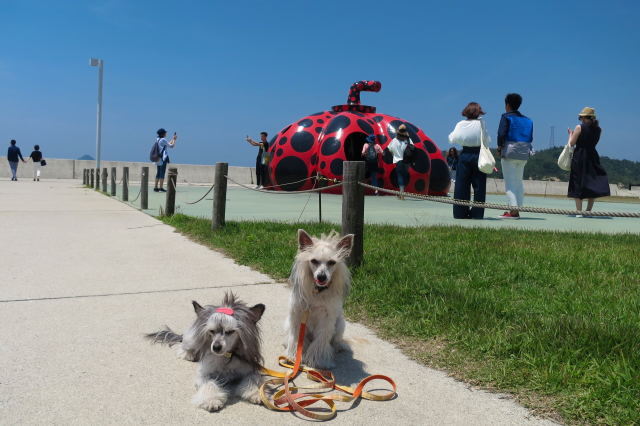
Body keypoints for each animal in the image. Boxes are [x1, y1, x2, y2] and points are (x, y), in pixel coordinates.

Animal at [284, 230, 356, 370]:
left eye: (332, 262)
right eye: (314, 261)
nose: (321, 277)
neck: (318, 291)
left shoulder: (327, 319)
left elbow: (321, 339)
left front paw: (318, 360)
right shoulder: (297, 314)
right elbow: (295, 337)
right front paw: (293, 355)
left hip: (340, 324)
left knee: (335, 340)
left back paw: (339, 346)